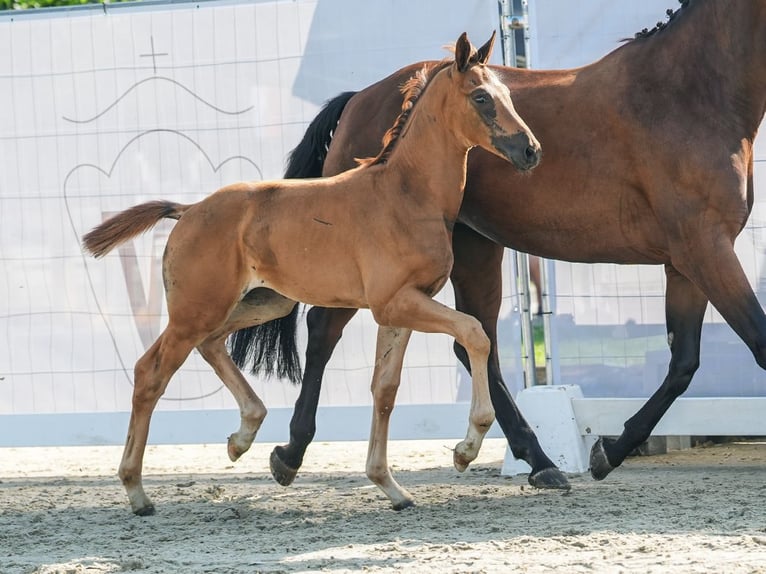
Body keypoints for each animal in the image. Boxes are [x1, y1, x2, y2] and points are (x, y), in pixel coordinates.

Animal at [84, 33, 544, 516]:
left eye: (508, 94)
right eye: (481, 97)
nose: (531, 150)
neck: (407, 193)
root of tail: (188, 210)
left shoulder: (400, 309)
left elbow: (385, 389)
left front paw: (390, 486)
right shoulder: (396, 302)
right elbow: (475, 333)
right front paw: (465, 450)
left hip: (263, 302)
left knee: (210, 346)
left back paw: (242, 437)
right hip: (196, 311)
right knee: (150, 372)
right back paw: (137, 491)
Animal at [238, 0, 766, 490]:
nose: (530, 150)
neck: (686, 94)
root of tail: (358, 99)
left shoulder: (687, 262)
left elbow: (684, 362)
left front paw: (608, 451)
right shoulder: (706, 249)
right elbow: (754, 343)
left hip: (474, 252)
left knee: (475, 343)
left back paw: (540, 461)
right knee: (325, 329)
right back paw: (290, 453)